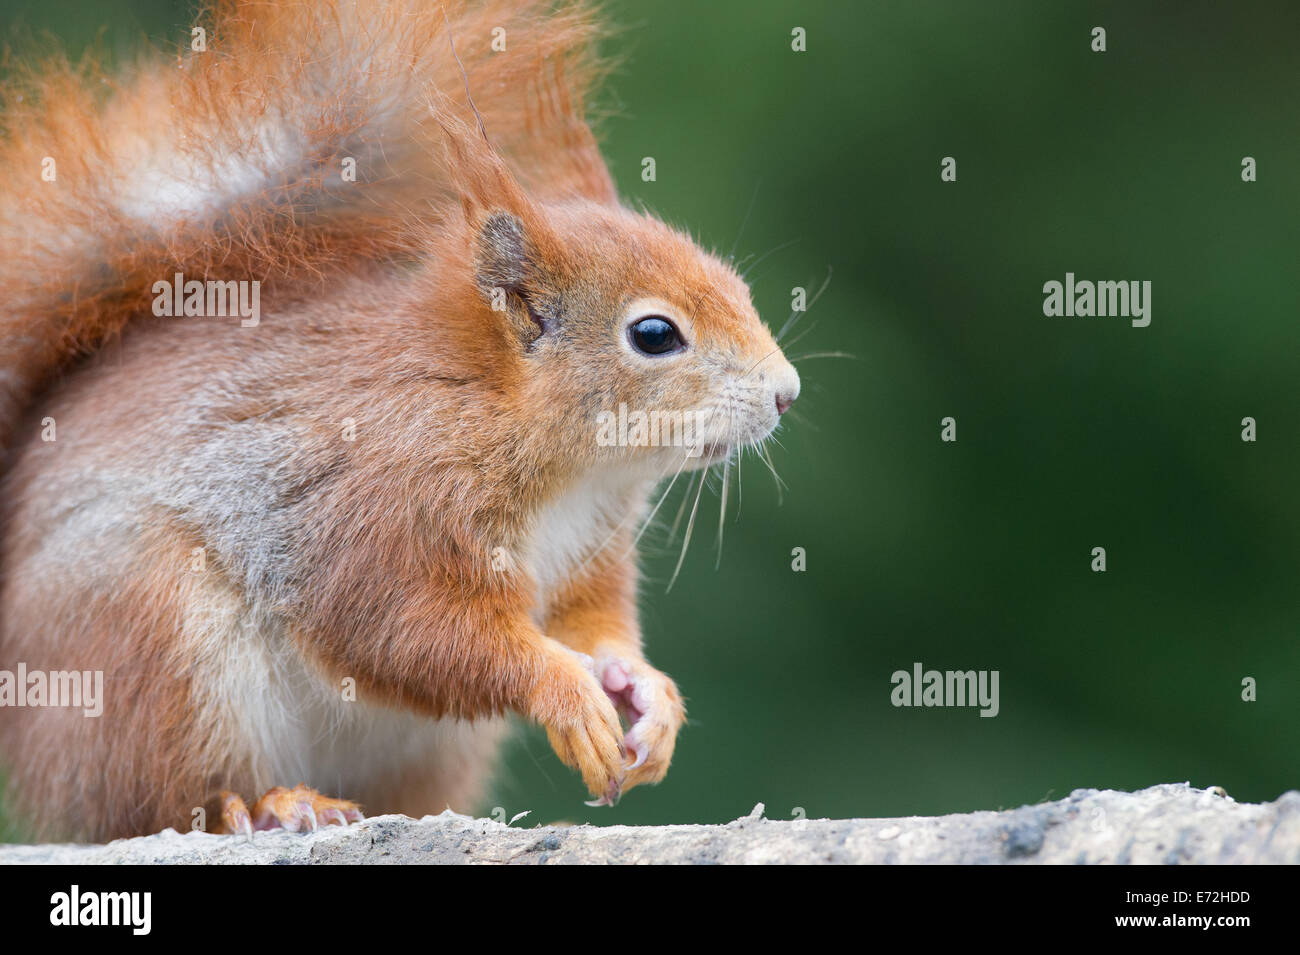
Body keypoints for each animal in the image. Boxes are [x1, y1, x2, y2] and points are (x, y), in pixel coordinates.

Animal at [0, 0, 800, 841]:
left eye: (737, 287)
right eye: (653, 334)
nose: (787, 392)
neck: (566, 467)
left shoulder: (589, 552)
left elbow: (592, 624)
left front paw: (647, 693)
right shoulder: (380, 502)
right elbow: (402, 625)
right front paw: (561, 686)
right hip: (152, 650)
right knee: (162, 799)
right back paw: (270, 802)